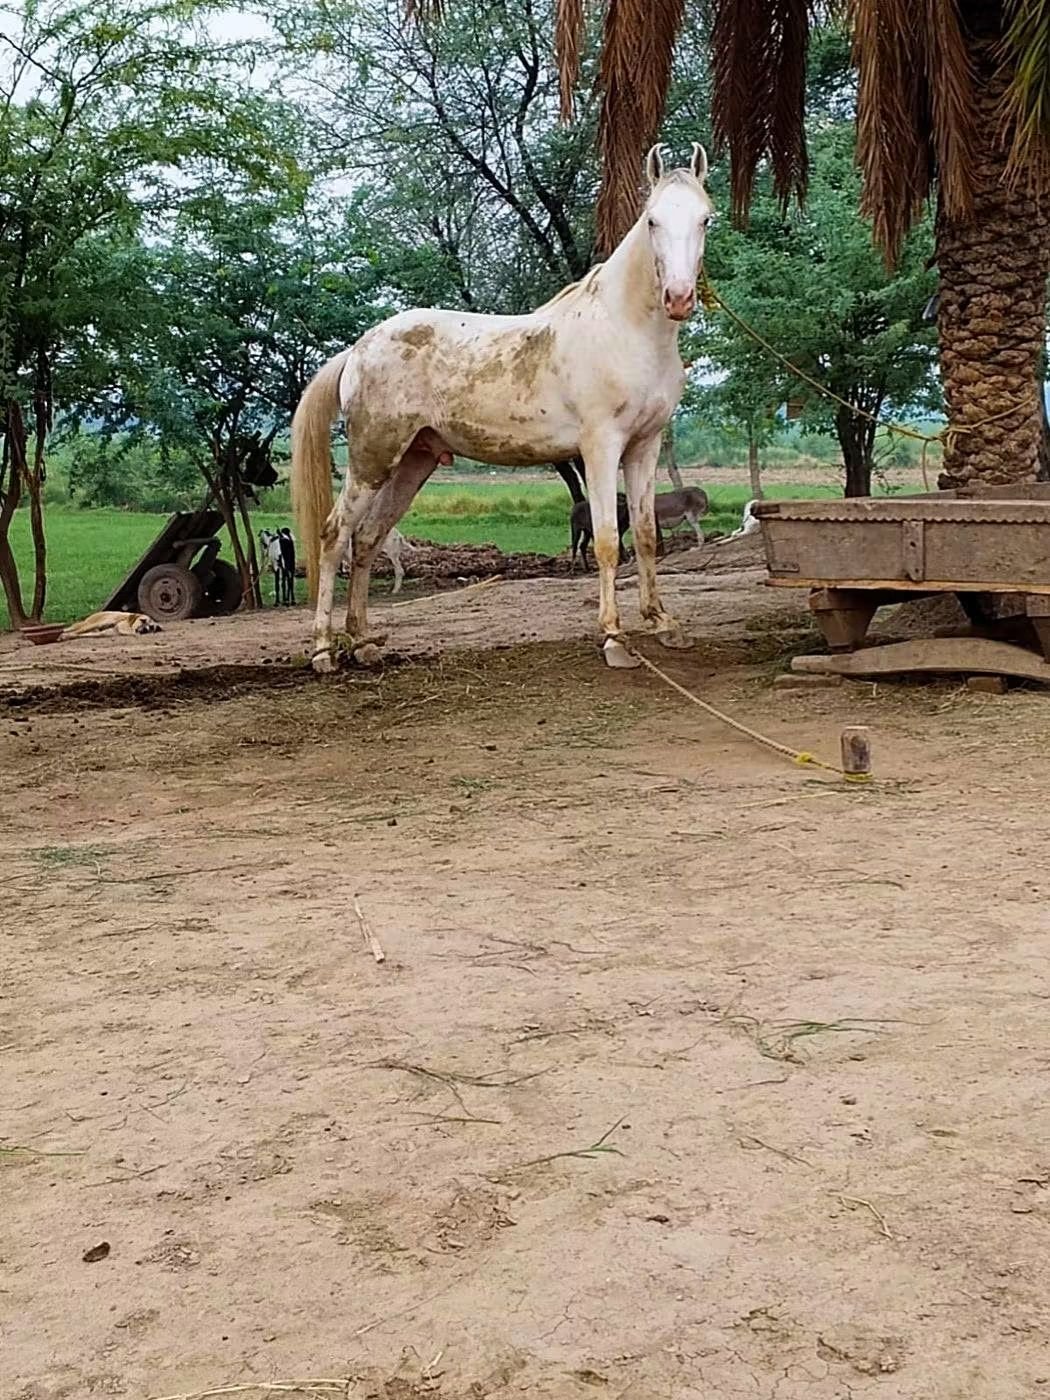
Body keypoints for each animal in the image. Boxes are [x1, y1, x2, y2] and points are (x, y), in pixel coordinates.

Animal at [291, 142, 714, 672]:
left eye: (705, 219)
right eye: (653, 220)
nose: (679, 297)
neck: (622, 329)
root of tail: (358, 348)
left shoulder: (645, 446)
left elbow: (645, 536)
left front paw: (662, 624)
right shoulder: (601, 447)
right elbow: (606, 542)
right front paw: (615, 638)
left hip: (413, 461)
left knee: (367, 539)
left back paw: (365, 643)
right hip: (373, 459)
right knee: (335, 538)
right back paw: (323, 650)